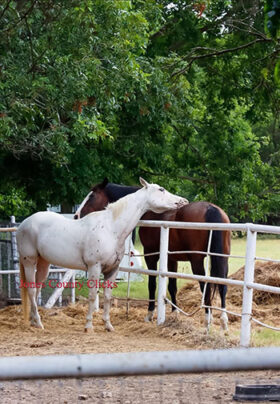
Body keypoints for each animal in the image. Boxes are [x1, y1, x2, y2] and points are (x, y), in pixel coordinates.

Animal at [17, 178, 188, 330]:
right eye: (161, 189)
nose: (183, 201)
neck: (111, 228)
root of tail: (24, 224)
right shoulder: (94, 267)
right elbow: (93, 296)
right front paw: (88, 326)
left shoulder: (112, 270)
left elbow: (107, 296)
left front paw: (108, 325)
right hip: (29, 262)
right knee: (31, 289)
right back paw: (39, 323)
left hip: (43, 263)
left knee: (37, 288)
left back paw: (33, 321)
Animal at [74, 178, 230, 330]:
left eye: (92, 196)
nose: (76, 215)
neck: (149, 210)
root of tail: (211, 208)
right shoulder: (171, 259)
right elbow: (172, 287)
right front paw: (174, 314)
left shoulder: (150, 255)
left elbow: (152, 284)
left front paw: (150, 314)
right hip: (223, 259)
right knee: (222, 285)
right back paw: (223, 321)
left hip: (196, 261)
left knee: (206, 286)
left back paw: (208, 319)